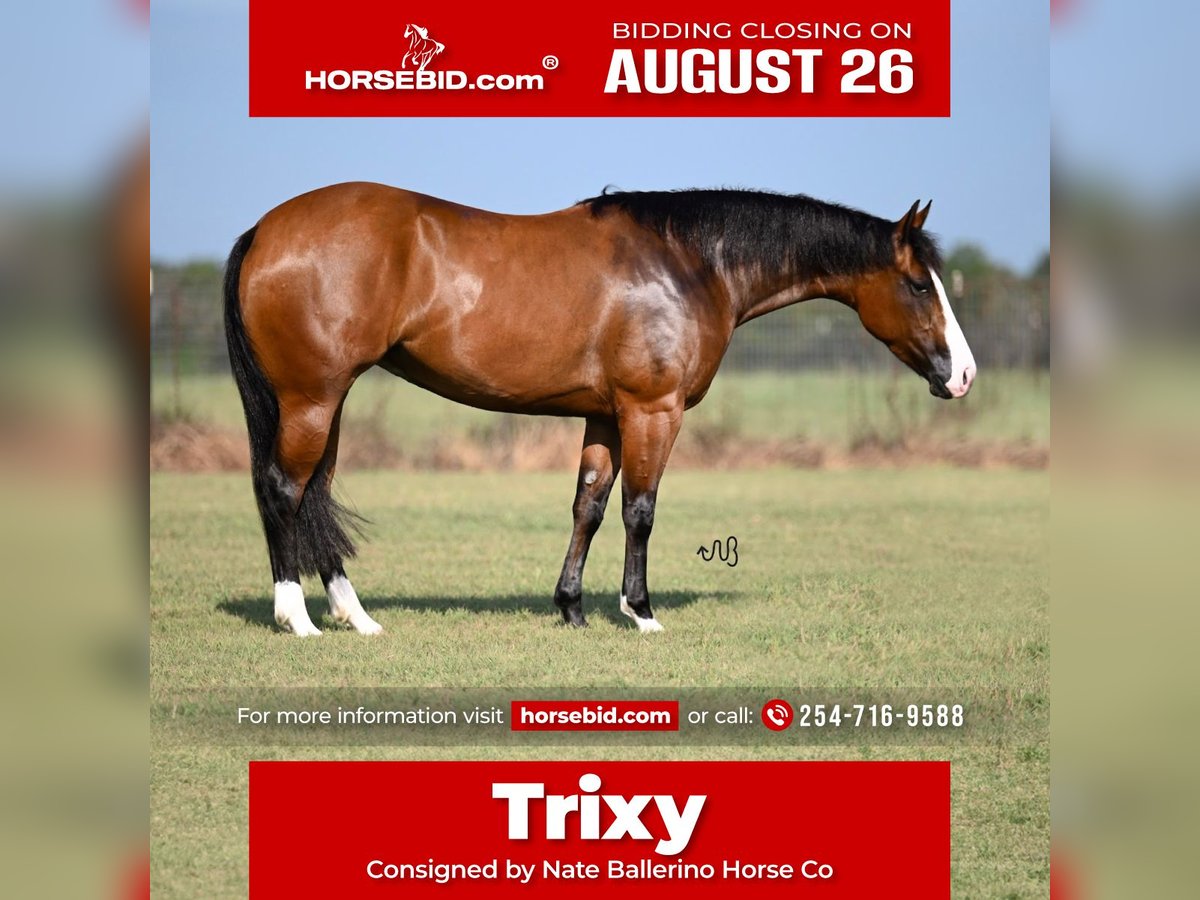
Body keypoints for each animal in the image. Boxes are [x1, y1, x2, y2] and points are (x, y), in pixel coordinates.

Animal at [223, 183, 974, 638]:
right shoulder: (653, 411)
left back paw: (358, 618)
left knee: (314, 493)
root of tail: (263, 228)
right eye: (917, 283)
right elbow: (640, 509)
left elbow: (589, 505)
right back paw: (297, 618)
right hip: (312, 399)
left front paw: (572, 608)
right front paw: (639, 612)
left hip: (327, 402)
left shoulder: (607, 416)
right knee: (284, 491)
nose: (963, 375)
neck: (688, 264)